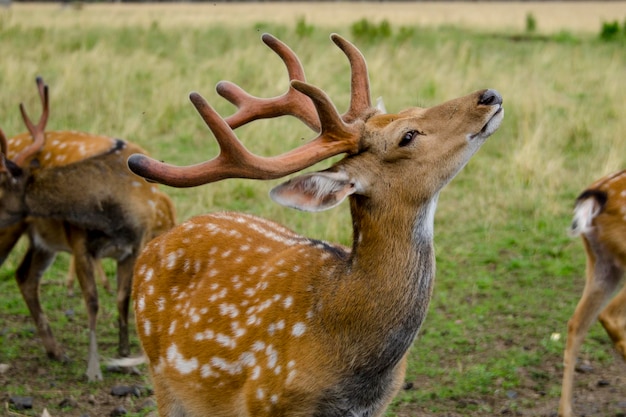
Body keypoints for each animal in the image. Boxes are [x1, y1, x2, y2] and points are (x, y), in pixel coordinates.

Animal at [0, 77, 176, 380]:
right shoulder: (79, 242)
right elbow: (92, 301)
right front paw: (93, 368)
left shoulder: (135, 244)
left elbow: (123, 297)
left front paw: (125, 355)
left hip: (41, 241)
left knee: (25, 276)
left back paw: (56, 351)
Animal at [127, 33, 502, 416]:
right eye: (407, 136)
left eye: (412, 109)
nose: (488, 95)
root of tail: (155, 244)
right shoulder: (264, 401)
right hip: (163, 378)